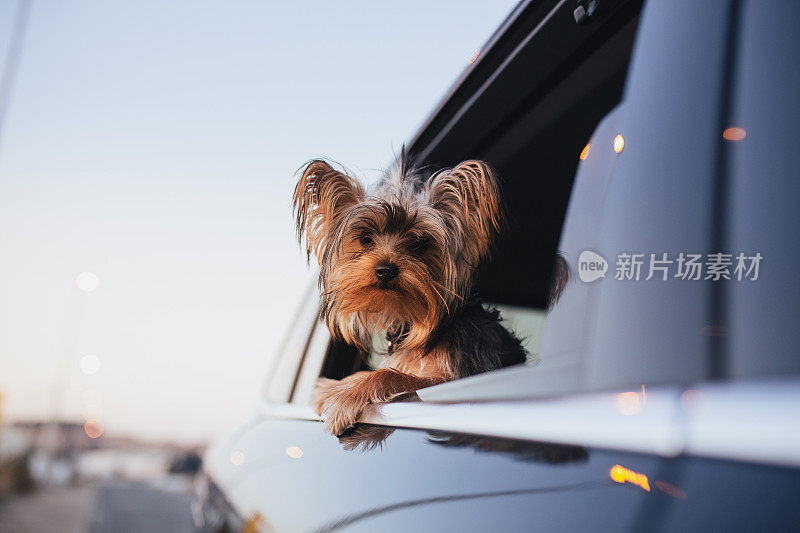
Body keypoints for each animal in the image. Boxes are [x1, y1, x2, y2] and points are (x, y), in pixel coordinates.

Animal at [294, 155, 564, 436]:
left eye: (421, 243)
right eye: (366, 238)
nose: (385, 269)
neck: (412, 319)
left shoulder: (452, 380)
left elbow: (389, 374)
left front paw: (342, 399)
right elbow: (373, 372)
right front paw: (332, 388)